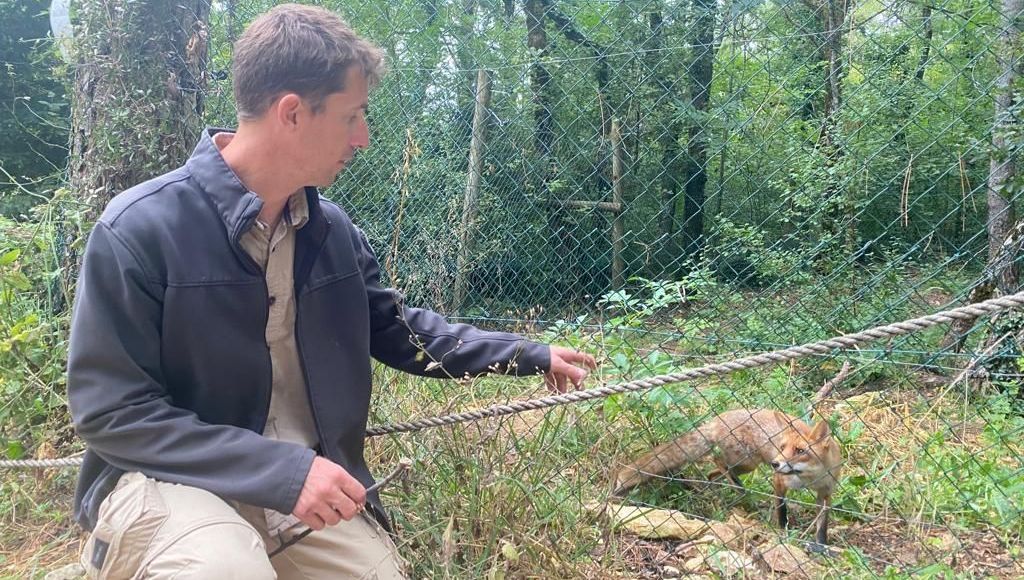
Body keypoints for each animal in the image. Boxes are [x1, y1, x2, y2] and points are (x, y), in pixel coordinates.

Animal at [614, 409, 839, 545]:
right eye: (782, 447)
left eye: (800, 450)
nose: (775, 463)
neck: (810, 477)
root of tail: (717, 419)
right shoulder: (779, 481)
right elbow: (781, 511)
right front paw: (783, 532)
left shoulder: (825, 493)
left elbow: (823, 524)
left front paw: (822, 546)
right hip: (746, 461)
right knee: (716, 461)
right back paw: (738, 490)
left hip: (744, 466)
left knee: (713, 473)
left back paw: (717, 490)